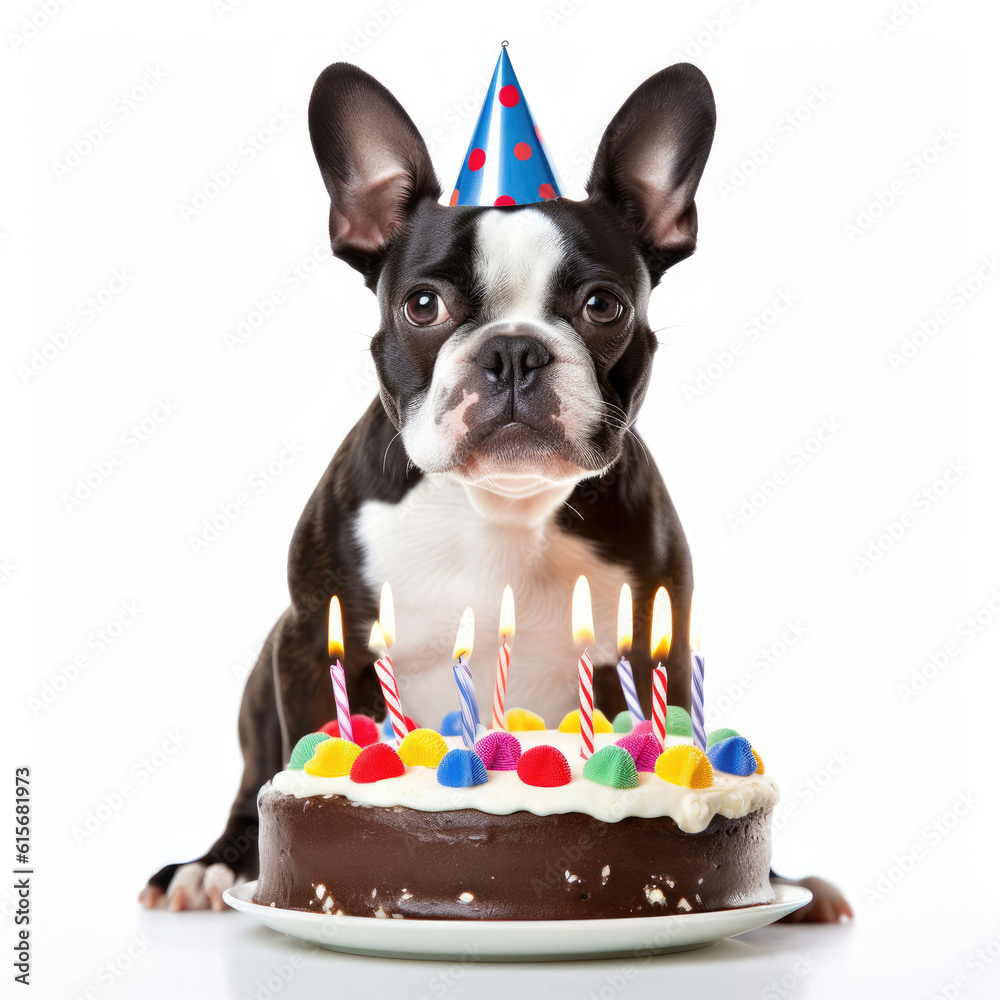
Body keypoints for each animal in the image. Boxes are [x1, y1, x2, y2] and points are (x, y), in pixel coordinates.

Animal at [137, 60, 848, 920]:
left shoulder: (657, 642)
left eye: (603, 305)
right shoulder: (311, 637)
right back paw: (211, 867)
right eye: (423, 305)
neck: (502, 504)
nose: (513, 351)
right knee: (250, 790)